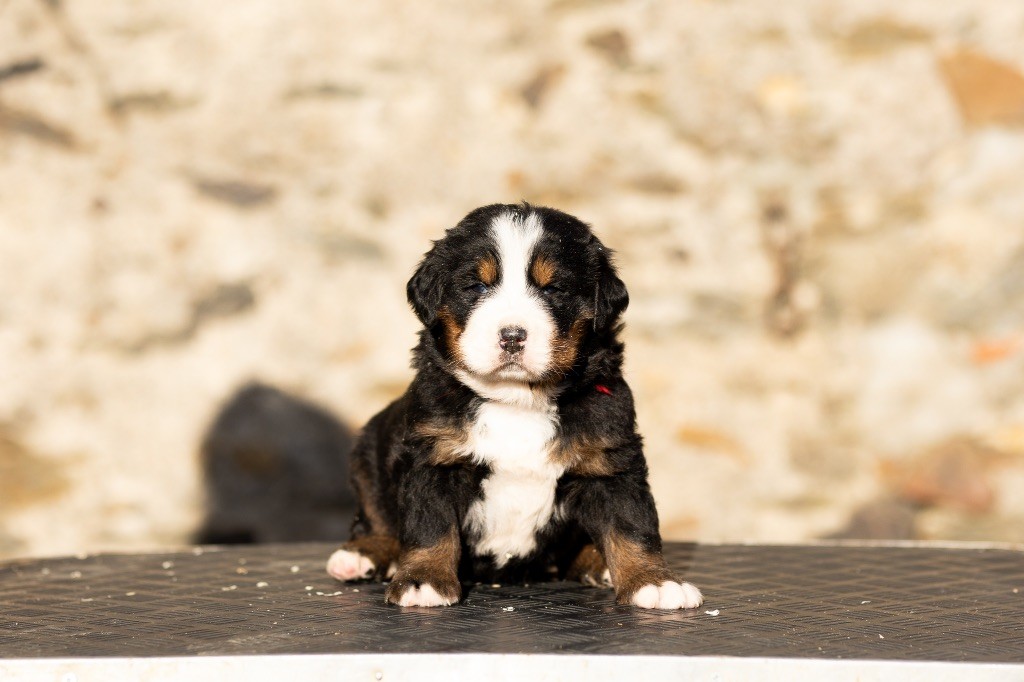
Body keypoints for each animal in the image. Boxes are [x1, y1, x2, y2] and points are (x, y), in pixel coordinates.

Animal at [327, 204, 704, 606]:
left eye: (553, 289)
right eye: (477, 286)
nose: (512, 336)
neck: (517, 399)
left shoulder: (610, 461)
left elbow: (632, 525)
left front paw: (654, 582)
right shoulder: (433, 457)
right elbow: (430, 527)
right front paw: (422, 580)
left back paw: (596, 560)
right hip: (368, 454)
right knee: (376, 519)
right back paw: (360, 555)